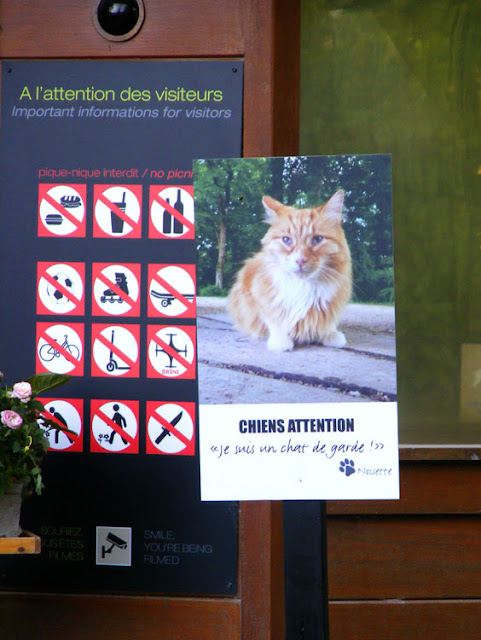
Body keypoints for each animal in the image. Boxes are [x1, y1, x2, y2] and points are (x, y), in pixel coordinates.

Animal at [227, 190, 350, 350]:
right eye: (287, 240)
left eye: (317, 239)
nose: (300, 260)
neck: (304, 287)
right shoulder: (258, 300)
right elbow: (273, 320)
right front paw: (280, 341)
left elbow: (329, 323)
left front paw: (330, 334)